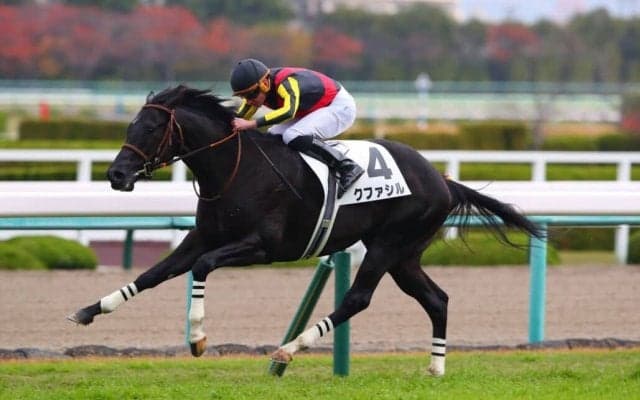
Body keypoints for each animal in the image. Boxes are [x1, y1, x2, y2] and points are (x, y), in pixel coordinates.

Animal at [68, 85, 542, 377]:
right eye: (129, 126)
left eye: (150, 128)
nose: (116, 175)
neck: (235, 168)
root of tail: (441, 179)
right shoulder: (203, 236)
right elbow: (153, 273)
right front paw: (88, 310)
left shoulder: (262, 247)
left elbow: (201, 267)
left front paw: (199, 338)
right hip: (404, 255)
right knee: (436, 299)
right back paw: (436, 367)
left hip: (389, 245)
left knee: (358, 298)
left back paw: (289, 349)